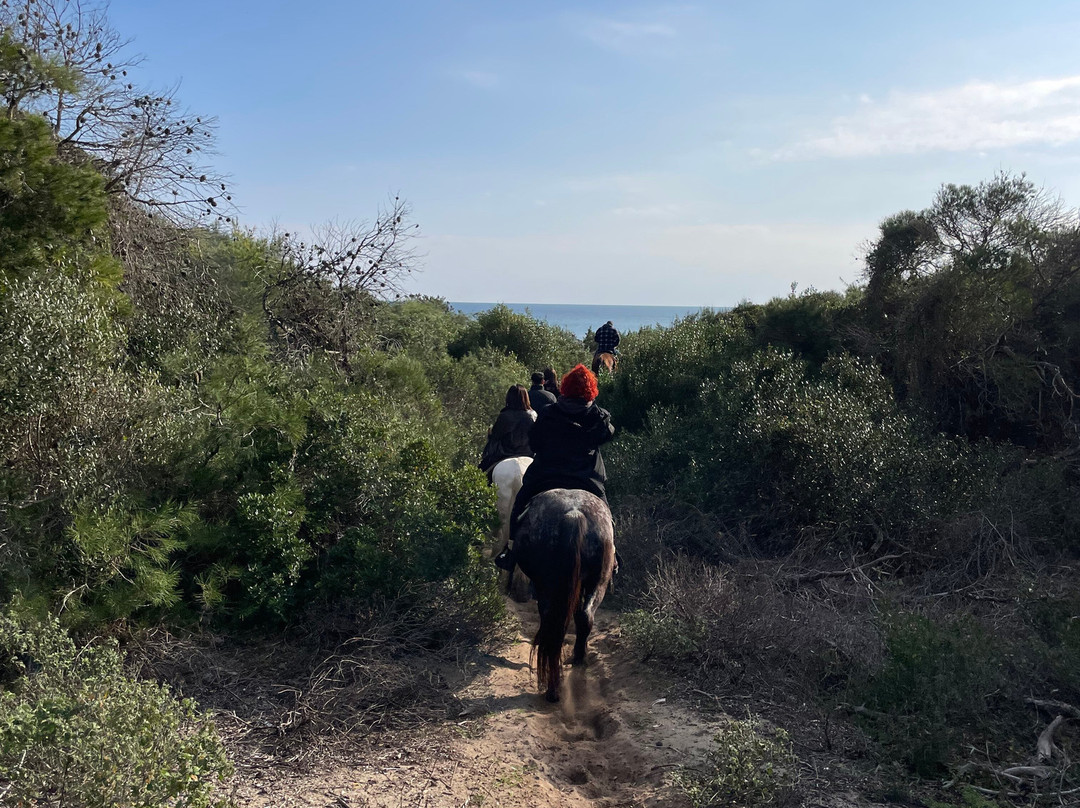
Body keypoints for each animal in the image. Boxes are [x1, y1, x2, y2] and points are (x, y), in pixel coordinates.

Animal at [512, 488, 616, 702]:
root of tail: (574, 514)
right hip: (598, 581)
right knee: (585, 617)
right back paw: (578, 662)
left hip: (546, 583)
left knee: (551, 622)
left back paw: (552, 687)